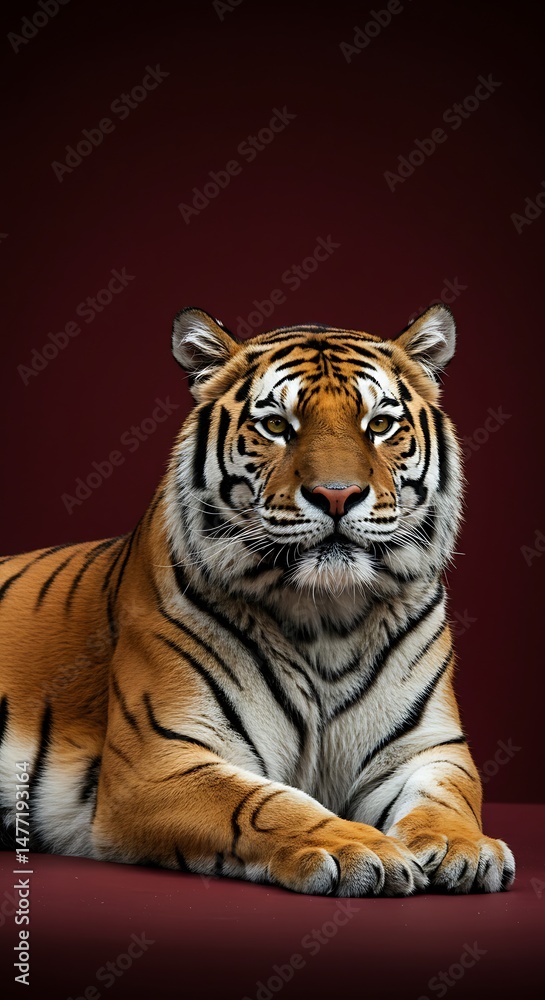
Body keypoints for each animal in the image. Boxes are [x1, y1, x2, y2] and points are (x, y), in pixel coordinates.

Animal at [0, 303, 515, 897]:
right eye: (276, 426)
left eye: (380, 425)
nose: (336, 495)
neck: (327, 618)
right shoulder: (162, 758)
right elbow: (266, 803)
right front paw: (360, 848)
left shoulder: (426, 749)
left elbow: (446, 800)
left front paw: (464, 848)